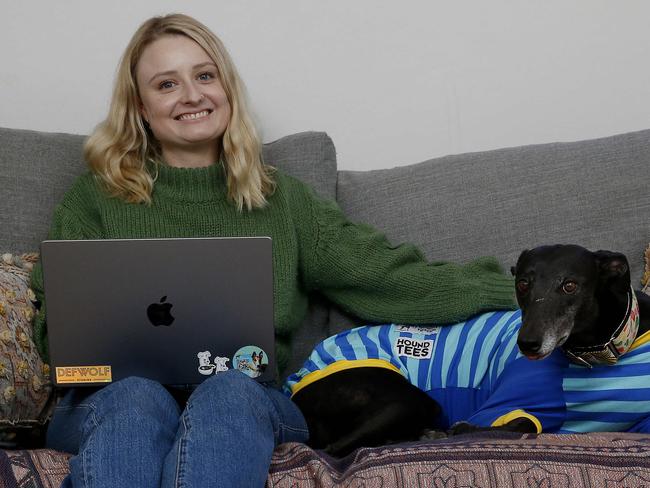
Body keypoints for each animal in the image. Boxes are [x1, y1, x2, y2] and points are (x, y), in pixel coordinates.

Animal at [286, 244, 648, 458]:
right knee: (334, 449)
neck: (597, 355)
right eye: (523, 284)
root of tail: (299, 377)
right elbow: (517, 424)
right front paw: (458, 431)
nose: (527, 344)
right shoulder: (504, 407)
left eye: (570, 285)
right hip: (408, 399)